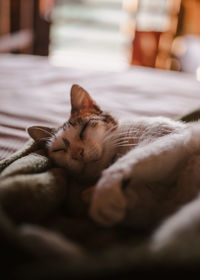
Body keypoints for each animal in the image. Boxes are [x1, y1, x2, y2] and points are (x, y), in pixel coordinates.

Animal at [27, 85, 200, 230]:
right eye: (59, 149)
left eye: (83, 130)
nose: (77, 154)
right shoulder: (154, 209)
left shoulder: (176, 137)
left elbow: (125, 163)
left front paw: (103, 195)